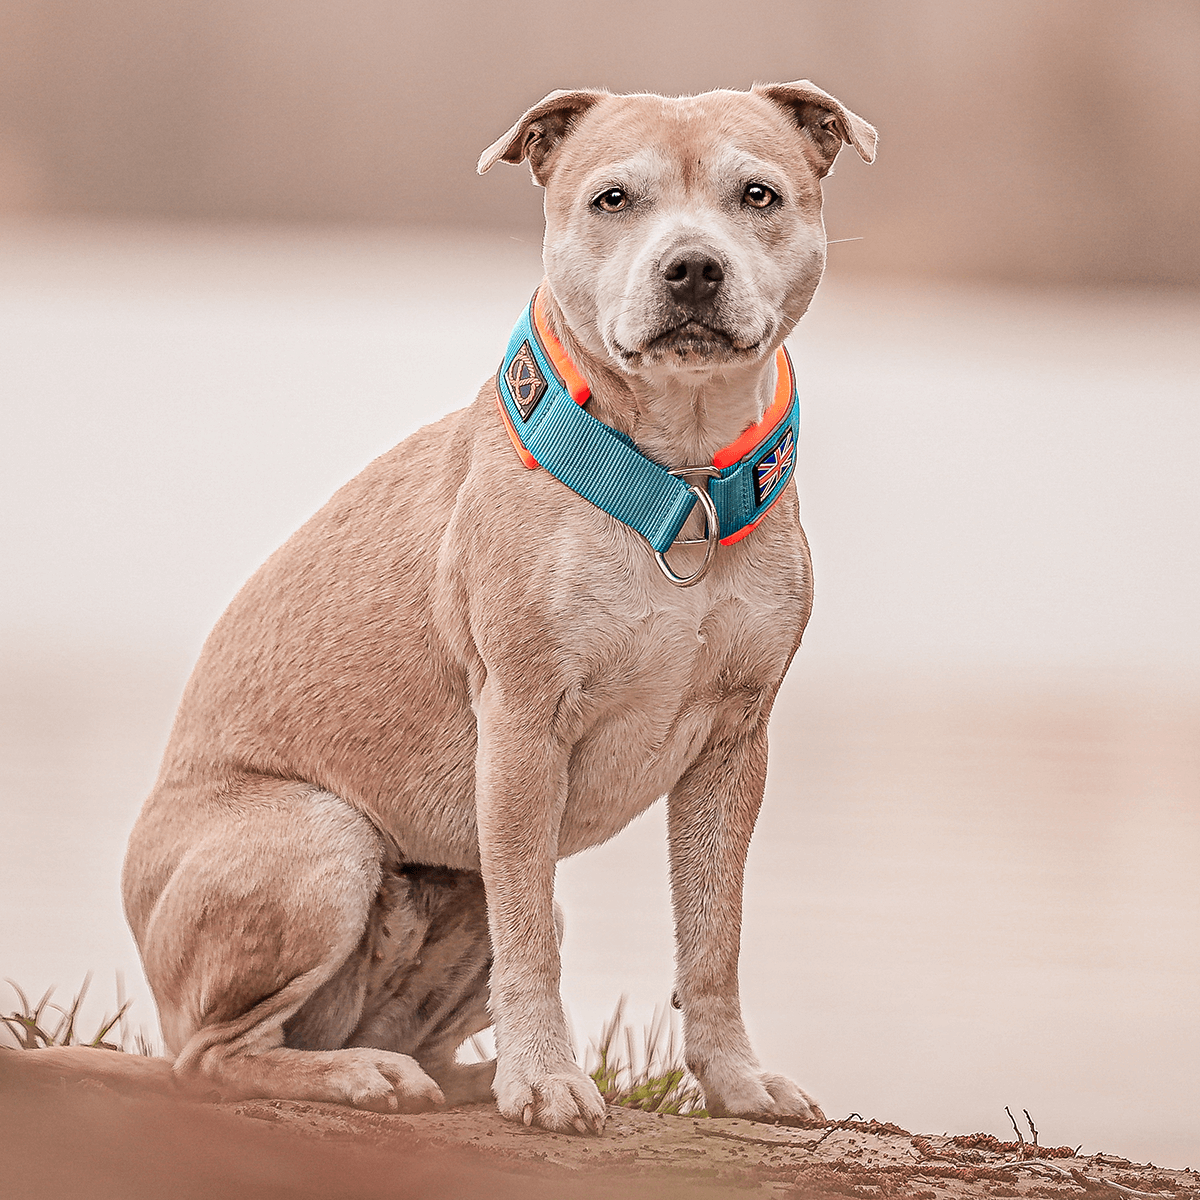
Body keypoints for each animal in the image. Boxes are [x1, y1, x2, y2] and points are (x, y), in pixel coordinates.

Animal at [119, 82, 873, 1132]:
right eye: (612, 199)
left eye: (757, 194)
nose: (691, 267)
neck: (677, 478)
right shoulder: (521, 727)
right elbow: (531, 947)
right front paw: (547, 1081)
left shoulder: (734, 745)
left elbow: (713, 936)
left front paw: (734, 1081)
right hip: (322, 840)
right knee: (214, 1055)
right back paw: (360, 1076)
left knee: (409, 1029)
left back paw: (458, 1078)